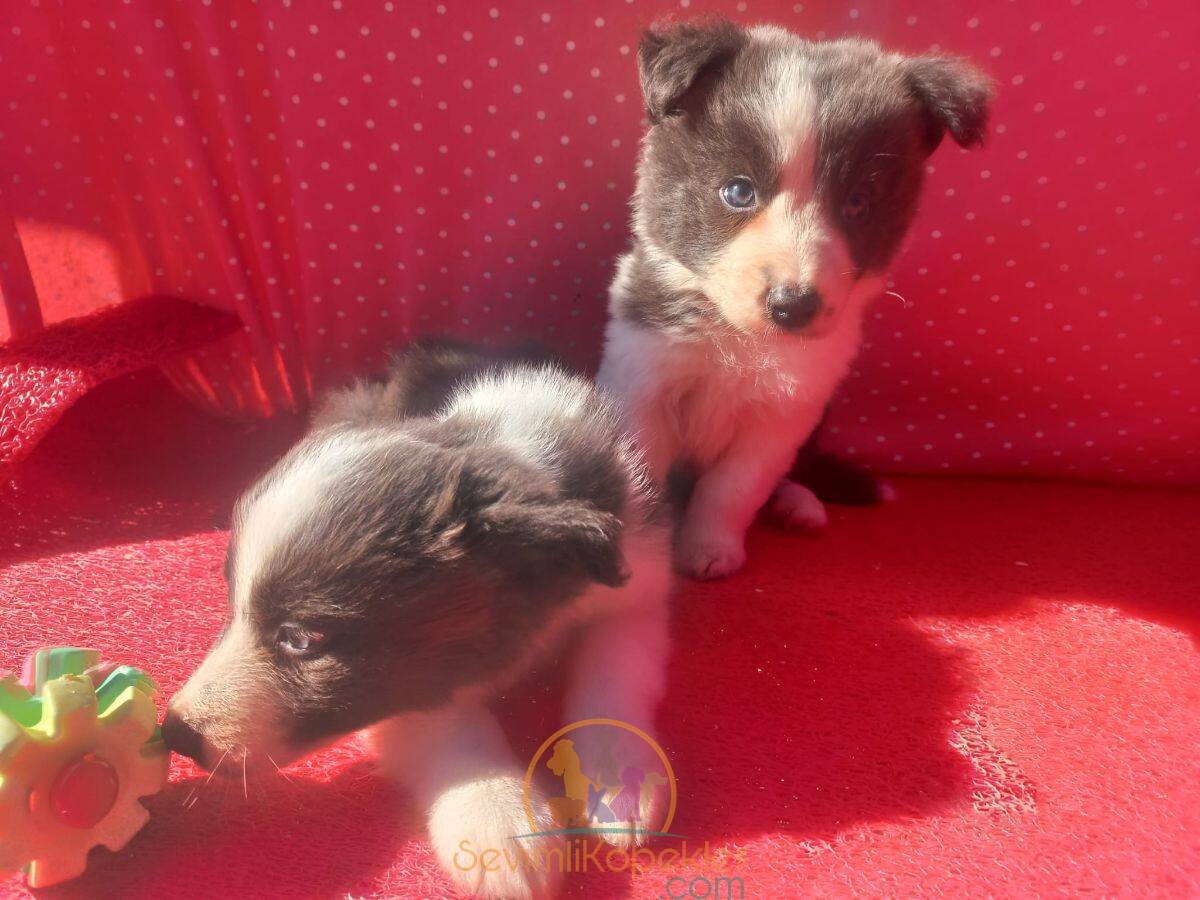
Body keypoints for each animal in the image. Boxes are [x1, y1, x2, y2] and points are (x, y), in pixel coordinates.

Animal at [162, 340, 676, 897]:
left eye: (299, 638)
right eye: (232, 601)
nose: (175, 733)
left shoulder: (637, 588)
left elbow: (615, 673)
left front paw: (617, 776)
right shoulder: (400, 692)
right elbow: (454, 726)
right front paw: (498, 823)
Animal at [595, 22, 988, 585]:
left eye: (858, 202)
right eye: (738, 191)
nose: (793, 306)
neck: (739, 339)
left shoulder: (782, 419)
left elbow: (733, 489)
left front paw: (708, 548)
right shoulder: (643, 384)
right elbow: (646, 485)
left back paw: (798, 504)